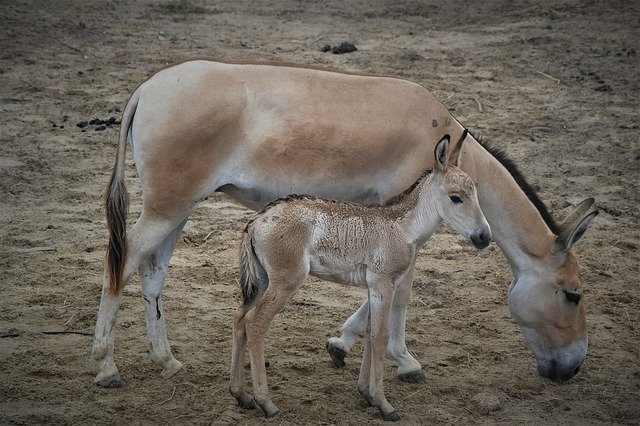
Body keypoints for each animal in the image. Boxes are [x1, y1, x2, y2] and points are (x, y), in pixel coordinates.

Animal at [229, 131, 490, 422]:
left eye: (475, 192)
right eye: (456, 197)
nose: (484, 236)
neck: (402, 227)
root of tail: (256, 221)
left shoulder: (374, 288)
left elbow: (369, 332)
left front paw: (366, 394)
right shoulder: (383, 284)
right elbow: (380, 336)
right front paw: (384, 404)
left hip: (263, 281)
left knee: (240, 318)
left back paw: (241, 395)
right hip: (285, 283)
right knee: (255, 323)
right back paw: (267, 403)